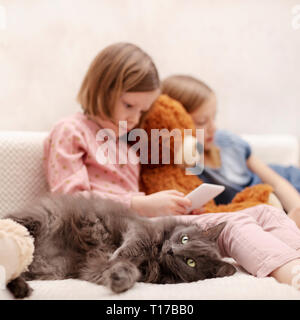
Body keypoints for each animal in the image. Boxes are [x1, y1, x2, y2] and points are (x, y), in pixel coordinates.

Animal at [3, 192, 236, 300]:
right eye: (184, 239)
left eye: (191, 262)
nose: (171, 250)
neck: (155, 255)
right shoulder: (136, 226)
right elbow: (134, 244)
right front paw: (116, 256)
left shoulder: (93, 267)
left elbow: (126, 269)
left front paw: (119, 279)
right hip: (34, 222)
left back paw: (22, 289)